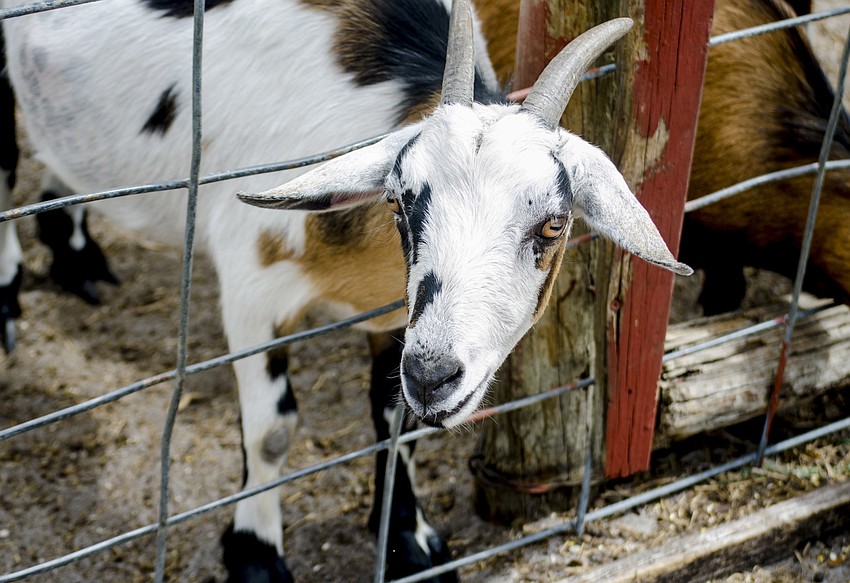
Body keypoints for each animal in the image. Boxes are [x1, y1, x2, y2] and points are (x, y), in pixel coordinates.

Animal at [0, 0, 687, 580]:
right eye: (401, 199)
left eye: (553, 222)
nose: (437, 376)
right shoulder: (250, 289)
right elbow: (272, 429)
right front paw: (255, 556)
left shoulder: (395, 318)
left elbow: (393, 419)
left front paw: (408, 542)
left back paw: (77, 261)